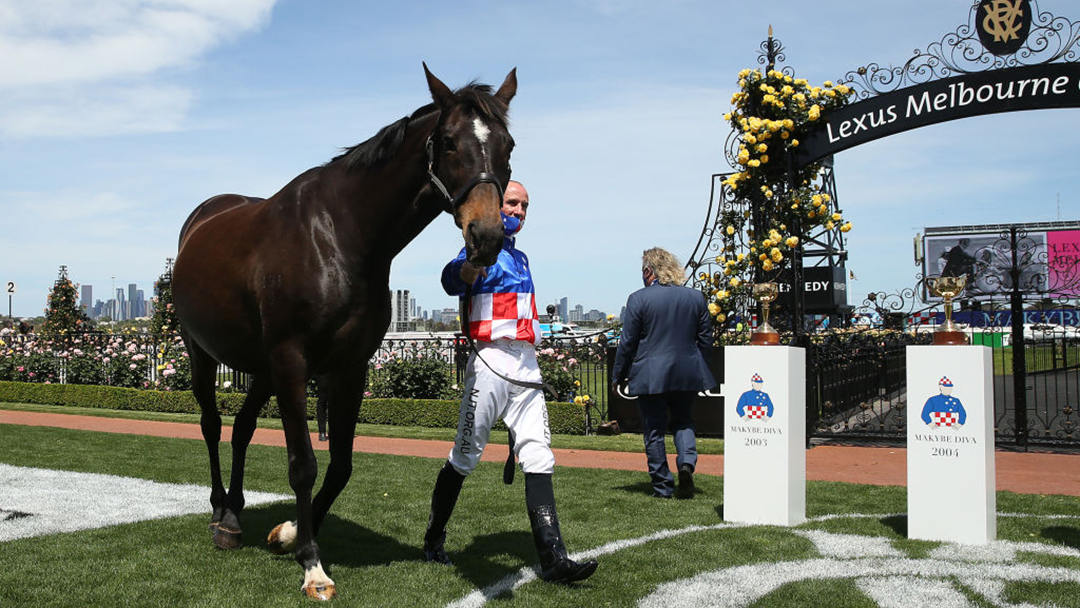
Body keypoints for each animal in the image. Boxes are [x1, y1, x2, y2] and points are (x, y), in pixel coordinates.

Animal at [170, 65, 516, 600]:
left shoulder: (350, 366)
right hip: (201, 351)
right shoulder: (292, 361)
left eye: (508, 144)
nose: (488, 235)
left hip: (262, 367)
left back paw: (234, 511)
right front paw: (312, 564)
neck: (340, 237)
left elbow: (342, 464)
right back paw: (219, 511)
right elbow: (303, 464)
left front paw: (291, 532)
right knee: (211, 424)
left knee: (243, 427)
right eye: (450, 142)